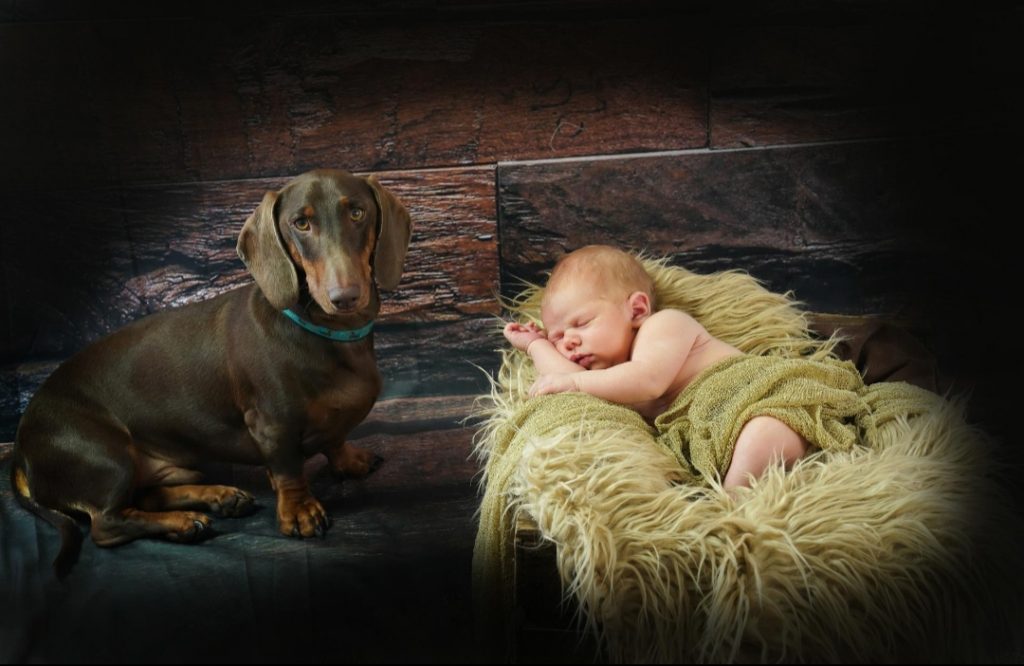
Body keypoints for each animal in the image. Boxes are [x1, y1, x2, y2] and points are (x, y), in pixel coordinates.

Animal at [10, 169, 411, 577]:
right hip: (107, 456)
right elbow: (288, 471)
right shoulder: (272, 425)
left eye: (358, 213)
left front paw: (349, 460)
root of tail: (21, 448)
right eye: (301, 223)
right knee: (106, 525)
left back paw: (218, 498)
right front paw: (300, 511)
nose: (345, 297)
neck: (327, 333)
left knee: (147, 497)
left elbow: (335, 438)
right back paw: (184, 523)